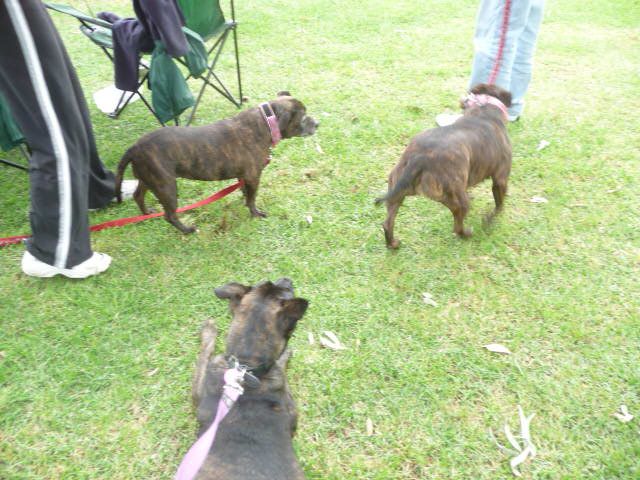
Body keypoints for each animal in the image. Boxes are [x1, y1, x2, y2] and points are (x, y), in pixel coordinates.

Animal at [114, 93, 318, 233]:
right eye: (303, 117)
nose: (317, 123)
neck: (267, 122)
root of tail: (135, 147)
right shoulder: (253, 176)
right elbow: (252, 198)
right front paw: (255, 213)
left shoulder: (244, 176)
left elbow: (245, 192)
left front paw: (244, 201)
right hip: (166, 186)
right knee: (169, 215)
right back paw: (187, 230)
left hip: (148, 179)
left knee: (138, 195)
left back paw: (146, 212)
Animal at [378, 83, 512, 248]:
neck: (485, 108)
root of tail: (419, 158)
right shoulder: (500, 179)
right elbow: (499, 204)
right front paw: (491, 219)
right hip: (457, 199)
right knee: (458, 223)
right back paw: (466, 234)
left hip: (396, 190)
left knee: (387, 223)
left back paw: (393, 244)